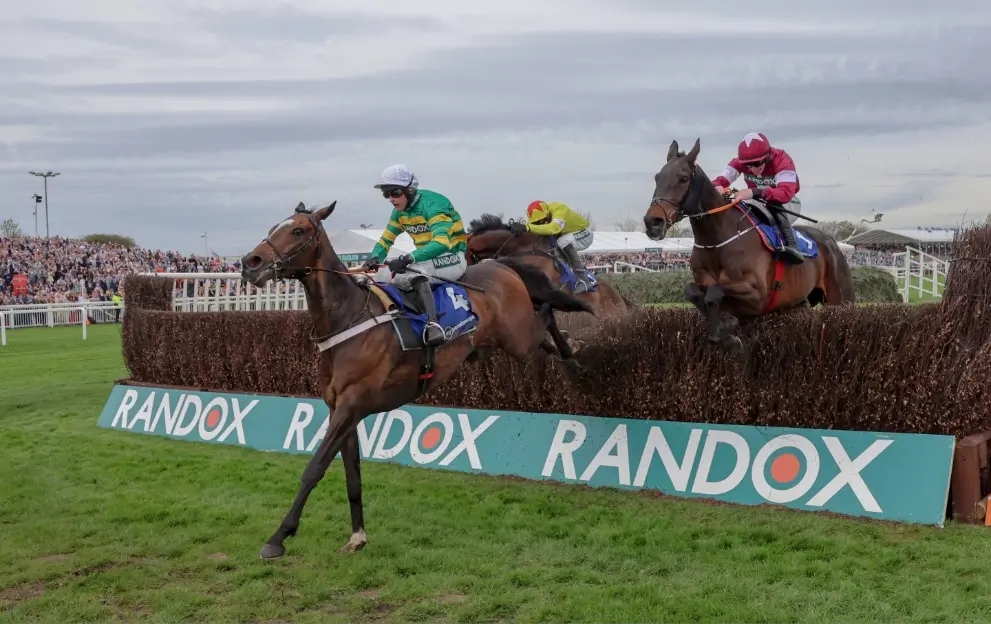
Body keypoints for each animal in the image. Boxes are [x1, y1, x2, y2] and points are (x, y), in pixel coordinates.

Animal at [240, 201, 596, 560]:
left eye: (298, 230)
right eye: (273, 227)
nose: (250, 263)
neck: (346, 320)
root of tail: (502, 265)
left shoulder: (351, 405)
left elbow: (314, 468)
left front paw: (278, 537)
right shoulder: (342, 410)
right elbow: (352, 476)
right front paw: (357, 536)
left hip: (517, 337)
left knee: (547, 311)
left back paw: (573, 350)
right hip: (508, 340)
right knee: (545, 325)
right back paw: (569, 351)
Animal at [644, 141, 852, 354]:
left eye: (684, 178)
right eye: (657, 177)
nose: (653, 222)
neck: (717, 240)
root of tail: (831, 241)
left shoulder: (758, 295)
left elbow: (714, 293)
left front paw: (728, 333)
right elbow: (693, 292)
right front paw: (725, 327)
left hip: (840, 298)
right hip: (797, 302)